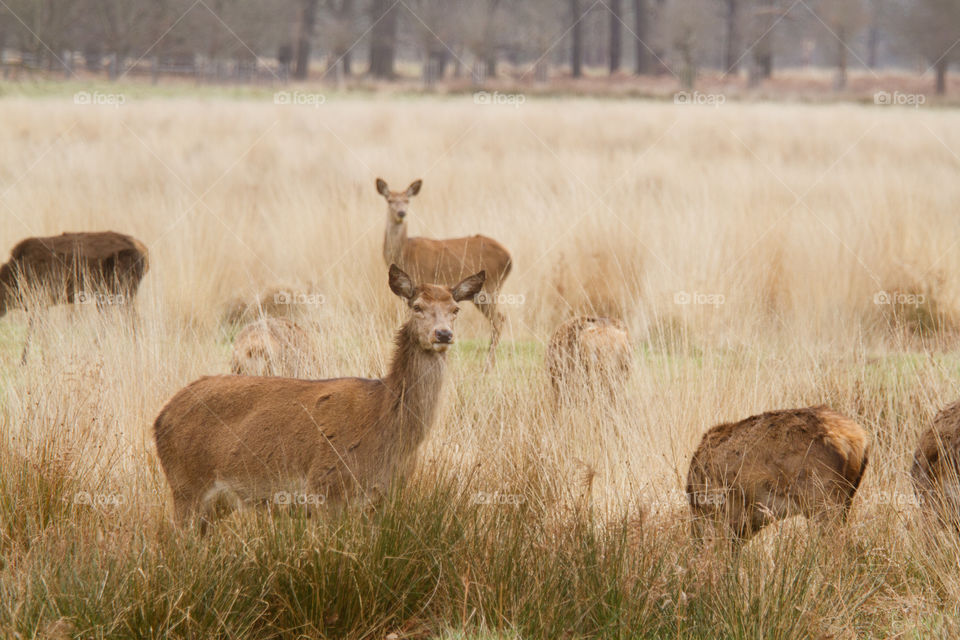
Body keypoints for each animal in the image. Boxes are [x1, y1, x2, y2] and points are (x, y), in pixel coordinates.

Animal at [0, 230, 149, 362]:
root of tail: (145, 253)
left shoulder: (38, 300)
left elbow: (35, 334)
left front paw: (32, 361)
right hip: (107, 296)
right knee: (114, 324)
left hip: (122, 292)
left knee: (132, 325)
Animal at [154, 262, 484, 528]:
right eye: (416, 306)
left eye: (455, 310)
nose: (443, 334)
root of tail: (160, 418)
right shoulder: (325, 489)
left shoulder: (383, 500)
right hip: (184, 485)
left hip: (212, 504)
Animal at [376, 178, 512, 368]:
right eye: (389, 200)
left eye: (407, 201)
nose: (401, 213)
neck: (404, 252)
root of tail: (509, 258)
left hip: (490, 288)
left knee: (499, 319)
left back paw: (487, 365)